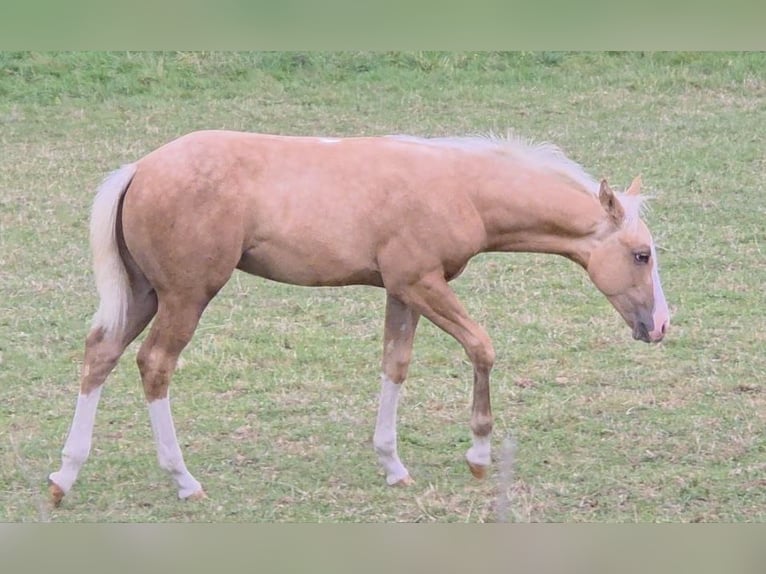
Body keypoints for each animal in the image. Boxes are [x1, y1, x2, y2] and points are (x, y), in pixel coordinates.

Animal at [48, 130, 670, 506]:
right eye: (642, 254)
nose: (660, 326)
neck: (459, 186)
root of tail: (139, 168)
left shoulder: (402, 290)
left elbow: (395, 366)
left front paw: (392, 464)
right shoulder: (422, 283)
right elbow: (481, 346)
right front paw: (477, 456)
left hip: (146, 293)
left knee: (100, 354)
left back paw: (64, 476)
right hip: (185, 296)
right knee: (155, 365)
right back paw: (183, 479)